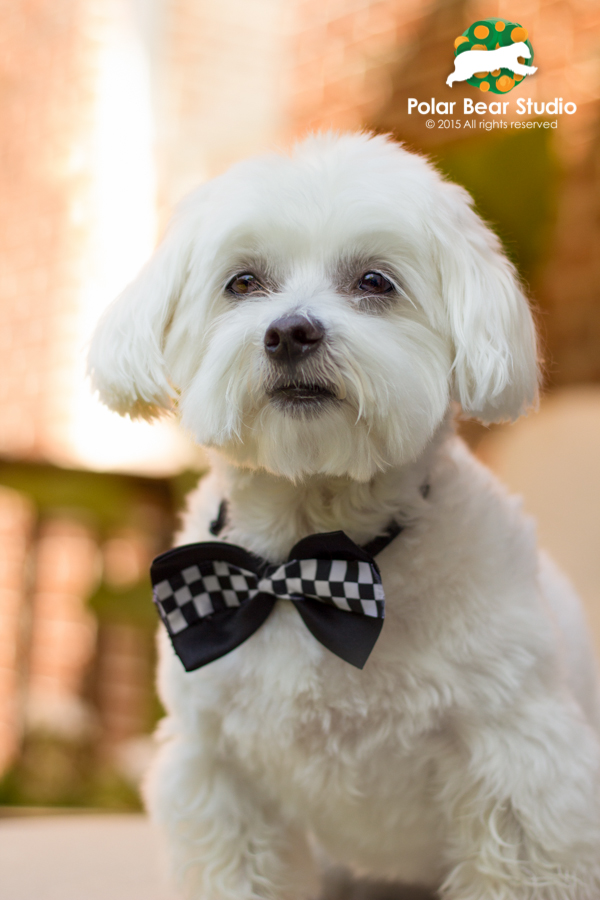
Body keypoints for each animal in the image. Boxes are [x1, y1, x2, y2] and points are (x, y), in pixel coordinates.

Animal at [86, 134, 600, 900]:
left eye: (375, 282)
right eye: (242, 282)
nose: (290, 332)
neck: (310, 554)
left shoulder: (521, 772)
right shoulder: (220, 779)